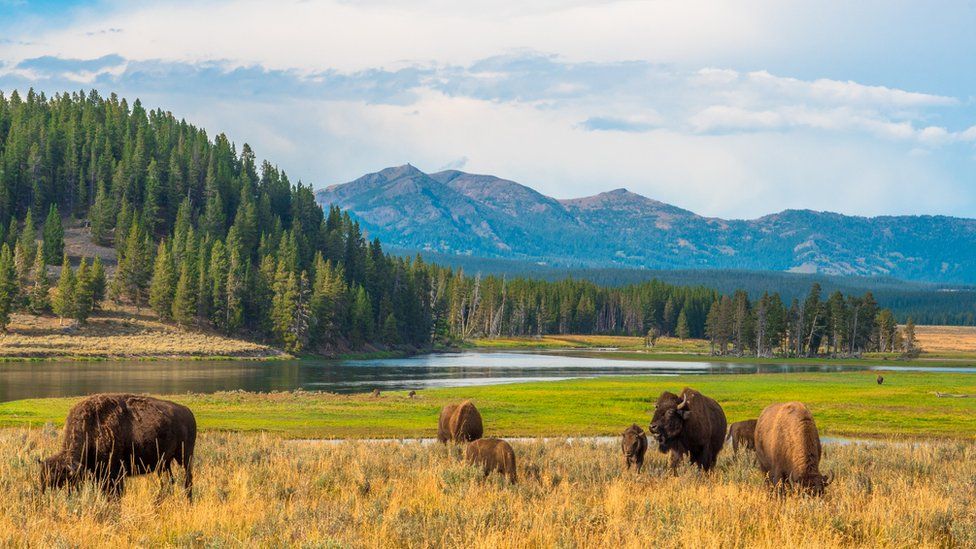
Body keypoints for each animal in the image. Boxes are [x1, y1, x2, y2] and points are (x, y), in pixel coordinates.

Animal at [38, 392, 196, 498]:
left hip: (185, 457)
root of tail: (188, 411)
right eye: (44, 482)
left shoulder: (114, 474)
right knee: (169, 481)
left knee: (187, 480)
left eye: (63, 482)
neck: (91, 427)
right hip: (164, 463)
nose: (50, 498)